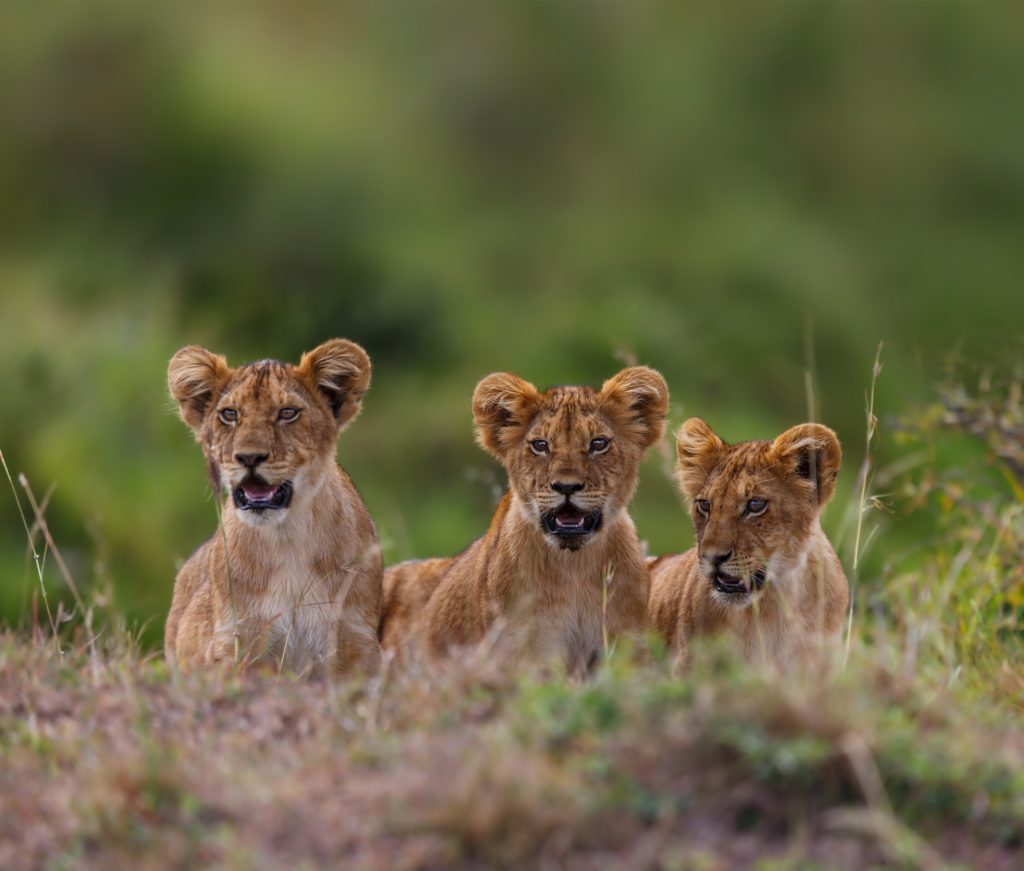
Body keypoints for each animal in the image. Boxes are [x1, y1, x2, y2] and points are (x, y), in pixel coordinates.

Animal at [164, 339, 382, 676]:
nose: (249, 457)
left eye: (287, 413)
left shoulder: (356, 639)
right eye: (229, 414)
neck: (286, 536)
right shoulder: (232, 640)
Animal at [379, 366, 670, 677]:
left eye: (598, 444)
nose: (566, 487)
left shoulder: (628, 646)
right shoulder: (524, 649)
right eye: (540, 445)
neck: (575, 567)